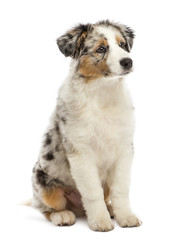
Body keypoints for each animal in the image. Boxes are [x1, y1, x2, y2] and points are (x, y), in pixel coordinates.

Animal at [31, 20, 141, 231]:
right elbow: (92, 193)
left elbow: (121, 189)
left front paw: (126, 216)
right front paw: (100, 222)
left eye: (122, 45)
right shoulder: (81, 153)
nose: (128, 62)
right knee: (46, 207)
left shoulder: (124, 148)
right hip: (43, 183)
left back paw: (111, 210)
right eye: (101, 49)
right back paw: (62, 215)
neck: (103, 93)